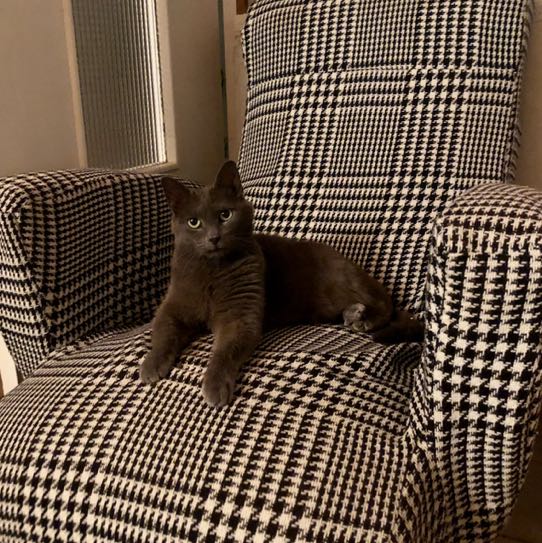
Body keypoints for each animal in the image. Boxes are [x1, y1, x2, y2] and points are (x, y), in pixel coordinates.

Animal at [139, 161, 424, 407]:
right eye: (193, 222)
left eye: (225, 214)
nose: (214, 238)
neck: (213, 271)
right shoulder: (174, 304)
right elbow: (163, 332)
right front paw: (151, 366)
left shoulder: (240, 315)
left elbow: (225, 351)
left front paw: (214, 387)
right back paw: (353, 313)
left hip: (345, 278)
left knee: (383, 302)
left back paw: (363, 318)